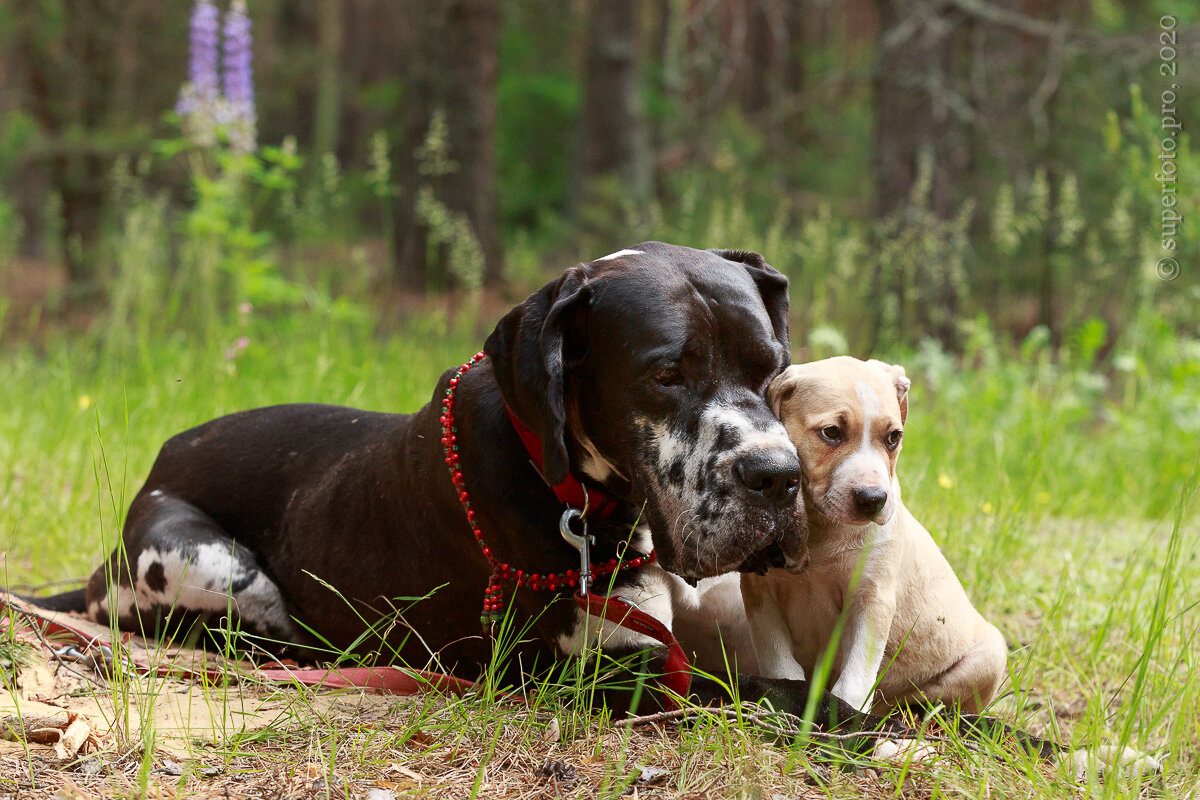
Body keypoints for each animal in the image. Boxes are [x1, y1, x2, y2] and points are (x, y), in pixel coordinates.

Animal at [739, 357, 1003, 714]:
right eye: (831, 432)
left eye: (893, 437)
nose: (873, 498)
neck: (821, 529)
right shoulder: (760, 590)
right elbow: (779, 662)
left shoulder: (871, 598)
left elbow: (854, 680)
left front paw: (846, 716)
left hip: (989, 657)